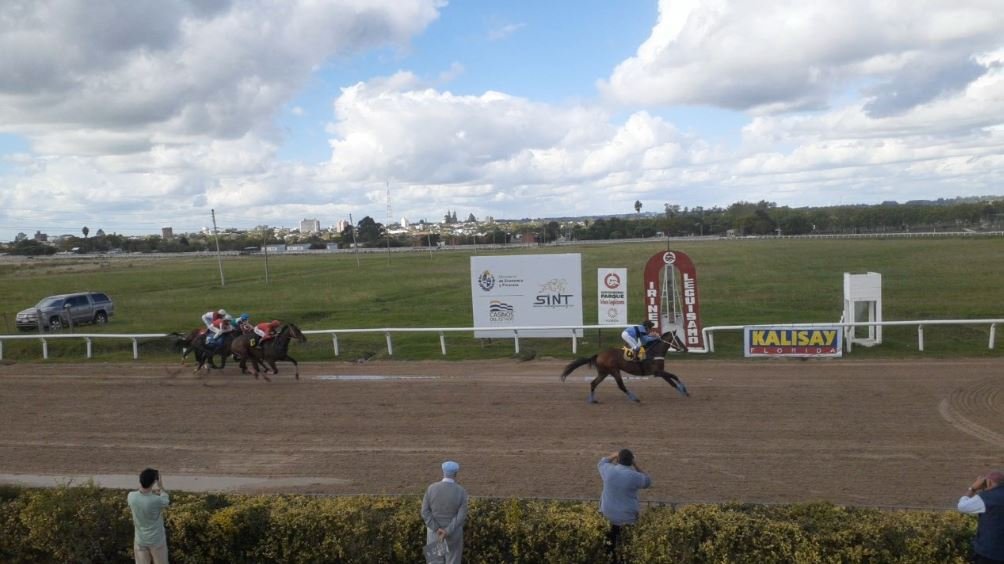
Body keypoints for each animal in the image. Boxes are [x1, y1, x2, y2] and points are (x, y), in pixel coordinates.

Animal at [560, 331, 690, 403]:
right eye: (678, 339)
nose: (686, 349)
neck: (654, 352)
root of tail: (599, 354)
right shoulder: (657, 372)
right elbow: (674, 376)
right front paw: (684, 389)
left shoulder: (659, 372)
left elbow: (672, 382)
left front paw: (684, 392)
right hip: (614, 370)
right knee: (621, 385)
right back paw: (635, 398)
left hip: (604, 372)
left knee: (593, 383)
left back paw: (593, 400)